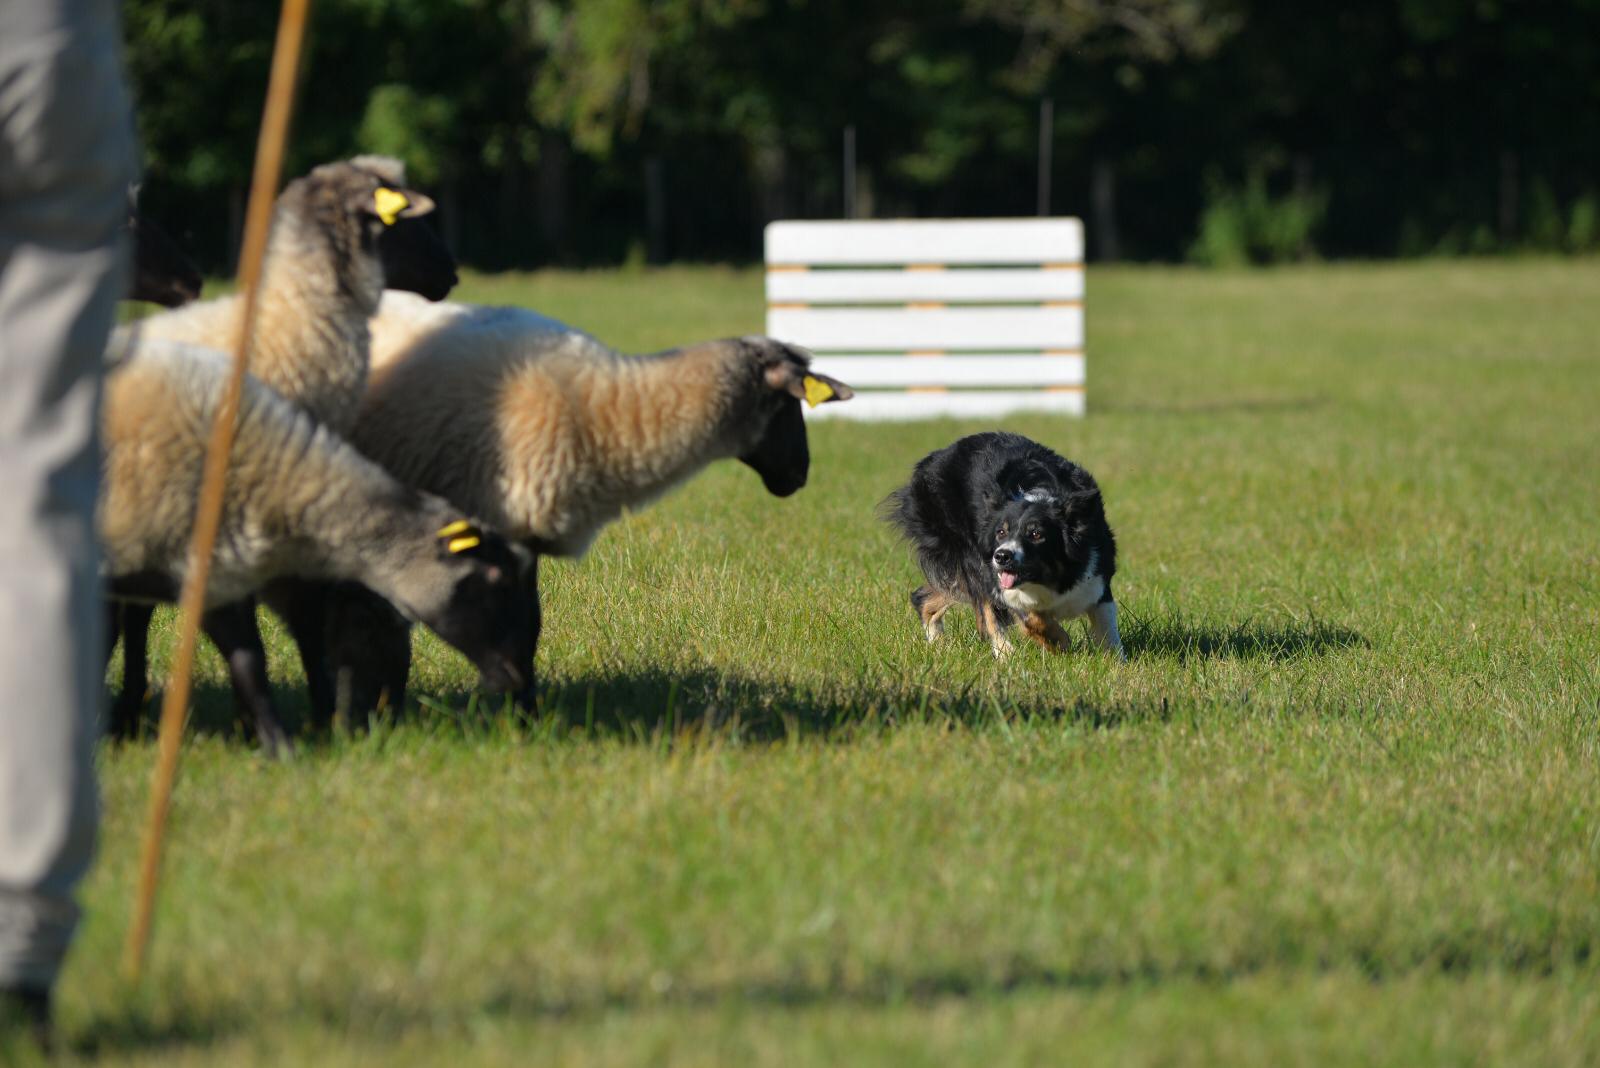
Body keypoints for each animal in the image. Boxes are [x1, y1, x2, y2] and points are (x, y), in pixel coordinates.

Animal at [318, 295, 857, 709]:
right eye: (789, 404)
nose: (800, 475)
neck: (610, 406)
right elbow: (506, 630)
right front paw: (518, 717)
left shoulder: (524, 535)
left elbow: (529, 627)